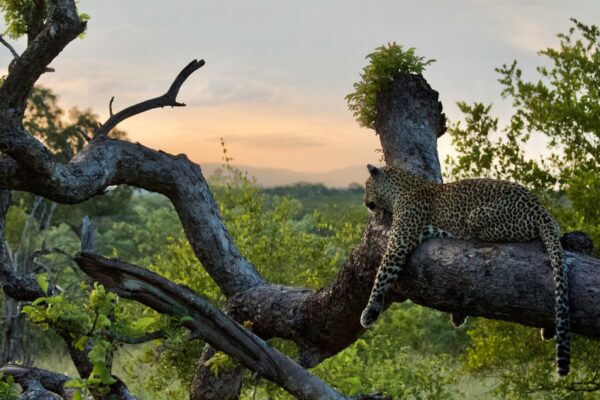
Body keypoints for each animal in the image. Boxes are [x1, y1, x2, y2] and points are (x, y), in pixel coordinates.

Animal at [360, 162, 572, 376]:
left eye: (367, 186)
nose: (364, 202)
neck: (401, 188)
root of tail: (540, 209)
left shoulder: (398, 244)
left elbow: (381, 276)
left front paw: (368, 313)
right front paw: (458, 315)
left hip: (476, 217)